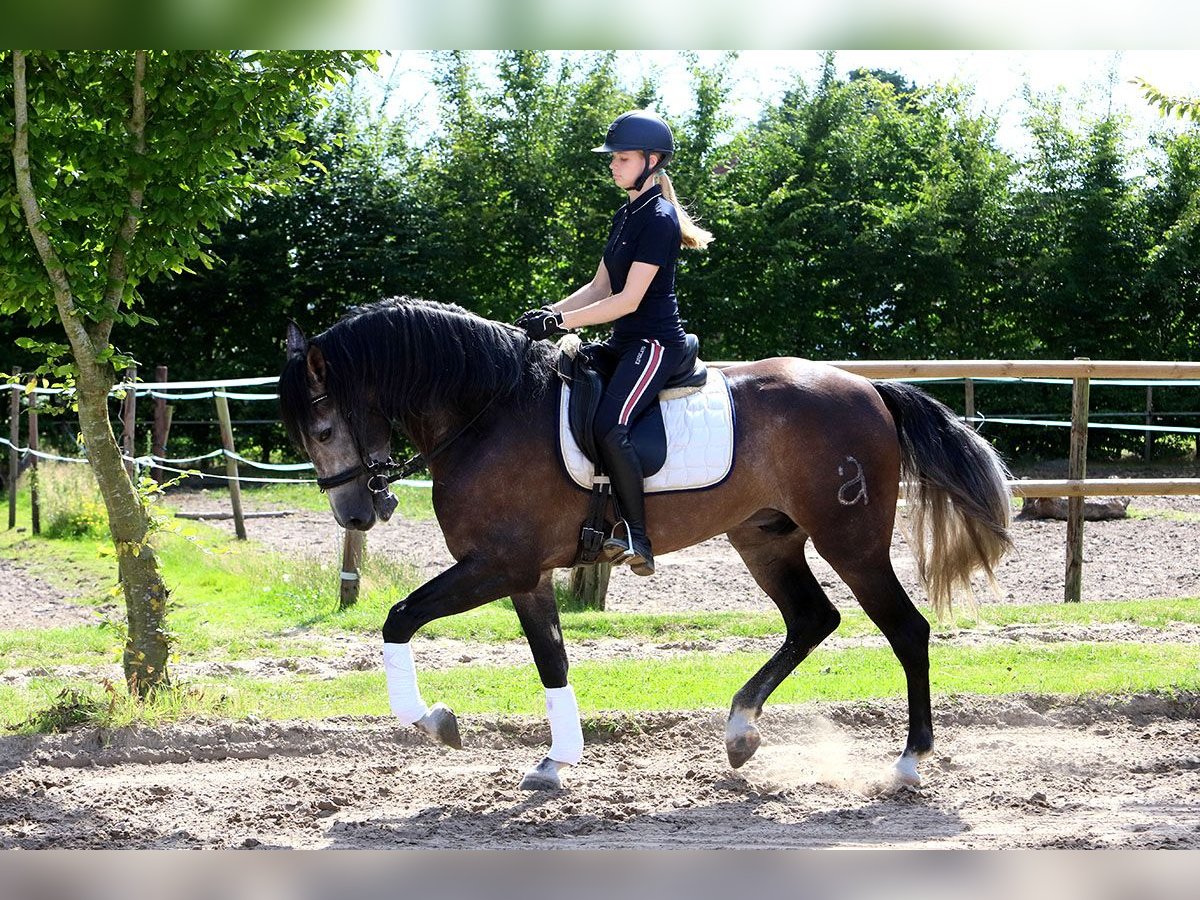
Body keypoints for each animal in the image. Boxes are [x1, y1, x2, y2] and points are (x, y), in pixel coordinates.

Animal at [279, 297, 1012, 791]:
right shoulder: (525, 575)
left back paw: (909, 761)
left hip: (850, 541)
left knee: (906, 629)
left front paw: (434, 722)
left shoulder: (498, 564)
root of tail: (869, 389)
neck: (488, 411)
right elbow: (552, 660)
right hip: (764, 539)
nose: (356, 513)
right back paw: (740, 733)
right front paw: (556, 761)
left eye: (323, 427)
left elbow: (399, 617)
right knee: (812, 619)